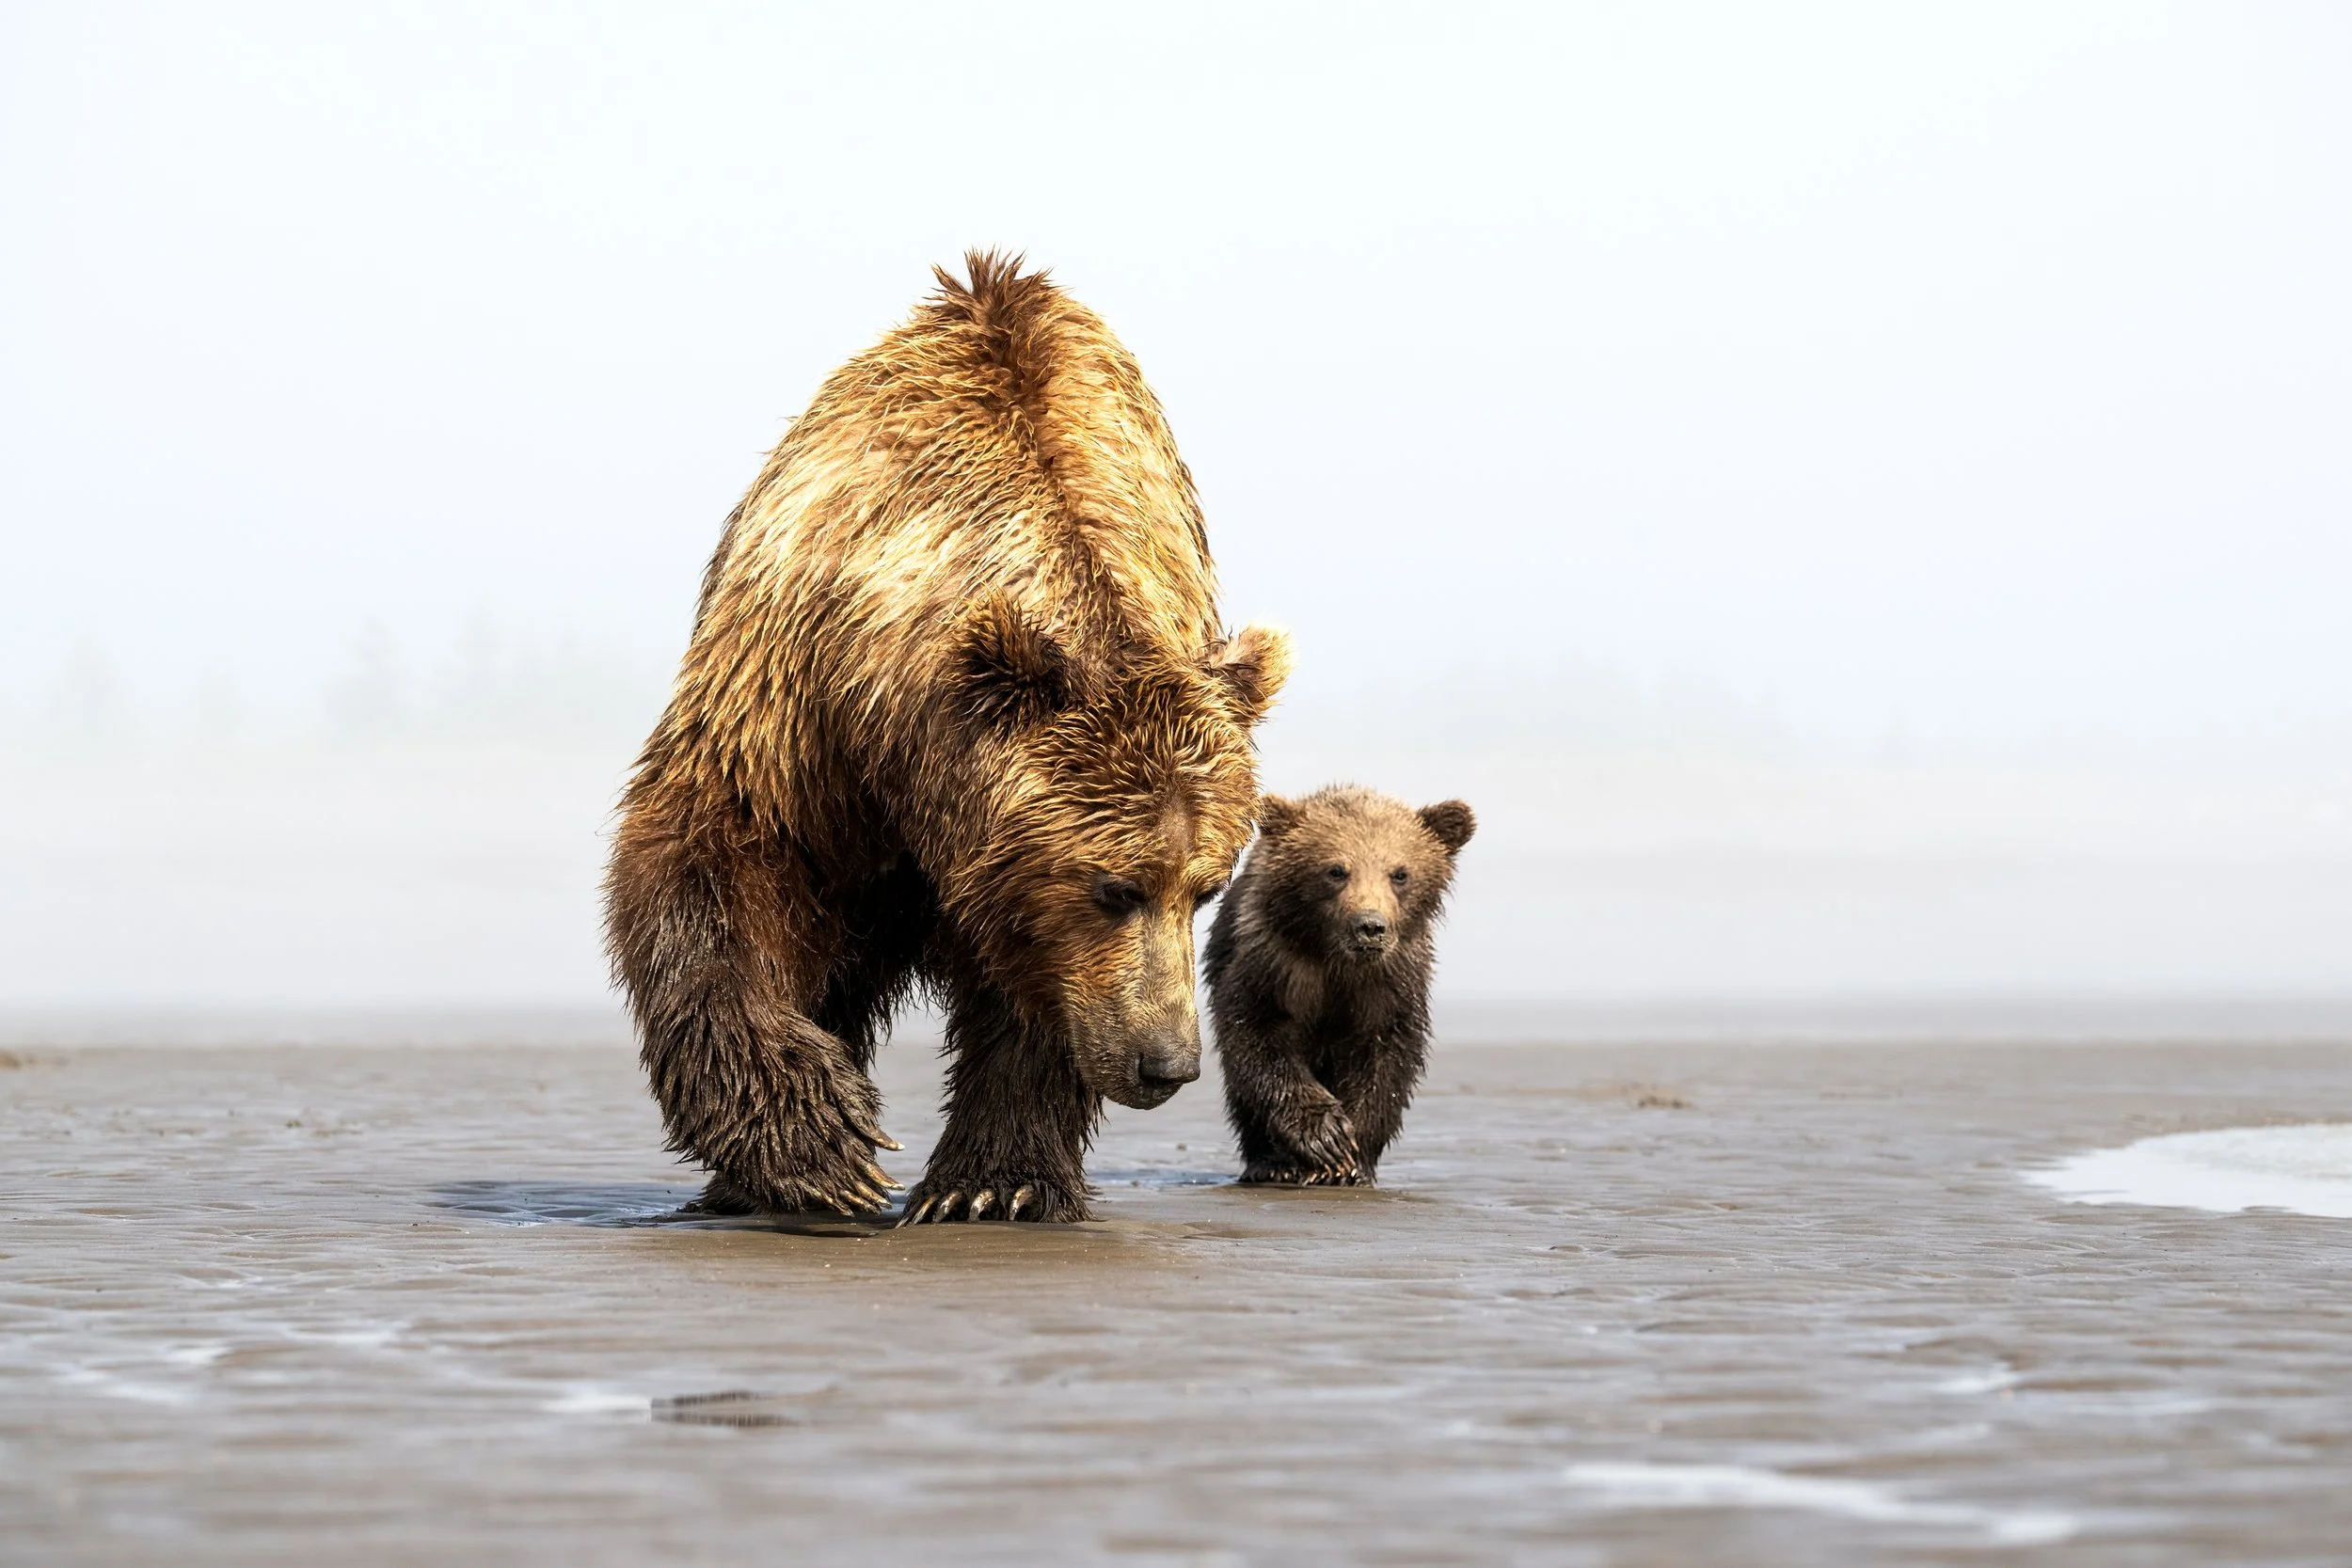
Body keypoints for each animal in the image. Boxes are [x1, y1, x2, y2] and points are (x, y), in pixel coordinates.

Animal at [605, 253, 1290, 1224]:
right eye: (1115, 887)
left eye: (1204, 889)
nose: (1168, 1062)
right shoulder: (798, 724)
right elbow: (714, 868)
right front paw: (827, 1142)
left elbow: (1035, 992)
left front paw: (993, 1183)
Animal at [1203, 785, 1475, 1185]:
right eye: (1336, 870)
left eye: (1400, 873)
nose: (1370, 926)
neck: (1337, 961)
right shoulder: (1275, 963)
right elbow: (1258, 1034)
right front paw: (1324, 1136)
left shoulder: (1390, 983)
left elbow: (1385, 1060)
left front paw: (1351, 1161)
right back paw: (1271, 1163)